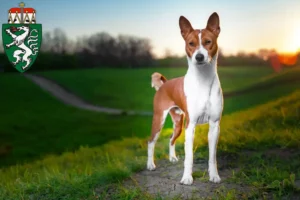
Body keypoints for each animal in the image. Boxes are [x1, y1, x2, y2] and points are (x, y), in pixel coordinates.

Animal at [147, 11, 223, 185]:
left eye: (208, 42)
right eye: (191, 43)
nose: (199, 57)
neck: (203, 80)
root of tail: (164, 84)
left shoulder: (214, 125)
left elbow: (213, 156)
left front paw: (214, 175)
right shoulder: (191, 125)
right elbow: (189, 157)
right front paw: (187, 178)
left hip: (178, 123)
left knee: (170, 139)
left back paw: (172, 158)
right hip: (159, 120)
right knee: (150, 141)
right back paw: (150, 165)